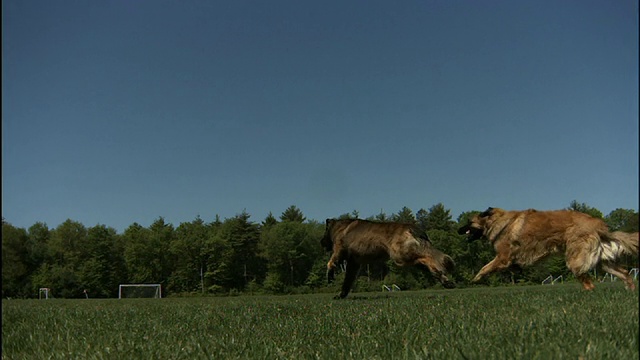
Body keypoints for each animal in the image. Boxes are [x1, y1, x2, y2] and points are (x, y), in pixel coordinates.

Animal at [320, 218, 456, 300]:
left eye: (324, 234)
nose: (321, 242)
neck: (339, 228)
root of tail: (412, 228)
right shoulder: (354, 264)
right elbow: (347, 281)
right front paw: (341, 295)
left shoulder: (339, 251)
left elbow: (330, 263)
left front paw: (330, 276)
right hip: (406, 257)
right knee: (427, 263)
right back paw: (445, 280)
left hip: (400, 255)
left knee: (428, 257)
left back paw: (446, 267)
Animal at [458, 208, 636, 290]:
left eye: (469, 222)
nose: (458, 230)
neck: (499, 222)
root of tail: (599, 225)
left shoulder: (503, 257)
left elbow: (484, 267)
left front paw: (475, 279)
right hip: (603, 261)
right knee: (624, 273)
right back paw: (631, 290)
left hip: (575, 259)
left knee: (588, 283)